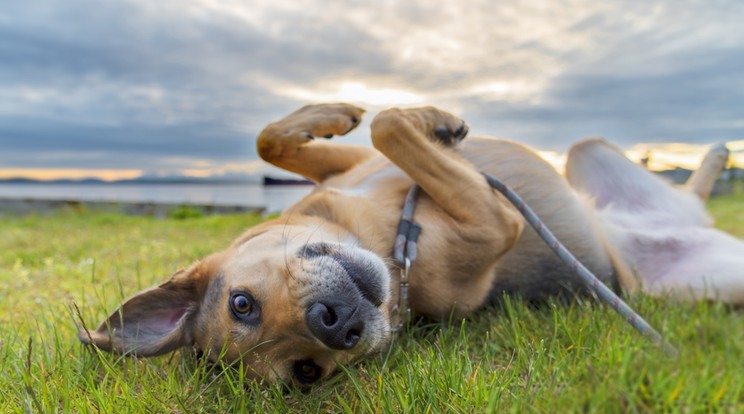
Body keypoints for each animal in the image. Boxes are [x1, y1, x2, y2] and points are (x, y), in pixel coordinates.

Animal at [80, 102, 744, 384]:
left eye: (240, 303)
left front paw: (344, 111)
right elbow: (391, 128)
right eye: (307, 373)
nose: (335, 325)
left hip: (586, 153)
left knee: (686, 190)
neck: (382, 233)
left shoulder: (352, 166)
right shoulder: (495, 222)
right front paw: (428, 120)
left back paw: (714, 156)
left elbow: (283, 138)